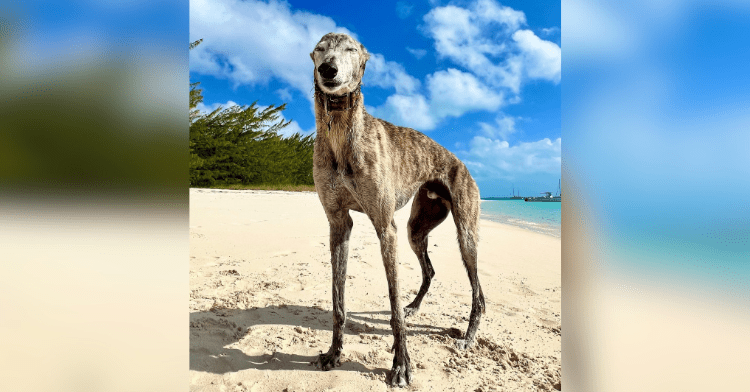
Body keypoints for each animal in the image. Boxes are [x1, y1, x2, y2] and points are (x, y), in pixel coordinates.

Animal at [312, 33, 488, 386]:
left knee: (478, 294)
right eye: (320, 50)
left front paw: (401, 365)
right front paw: (334, 353)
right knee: (429, 270)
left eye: (350, 49)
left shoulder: (386, 228)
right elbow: (338, 303)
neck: (341, 132)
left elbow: (392, 309)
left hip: (466, 234)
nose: (328, 70)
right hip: (416, 228)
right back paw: (415, 307)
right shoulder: (339, 224)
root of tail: (460, 162)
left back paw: (468, 337)